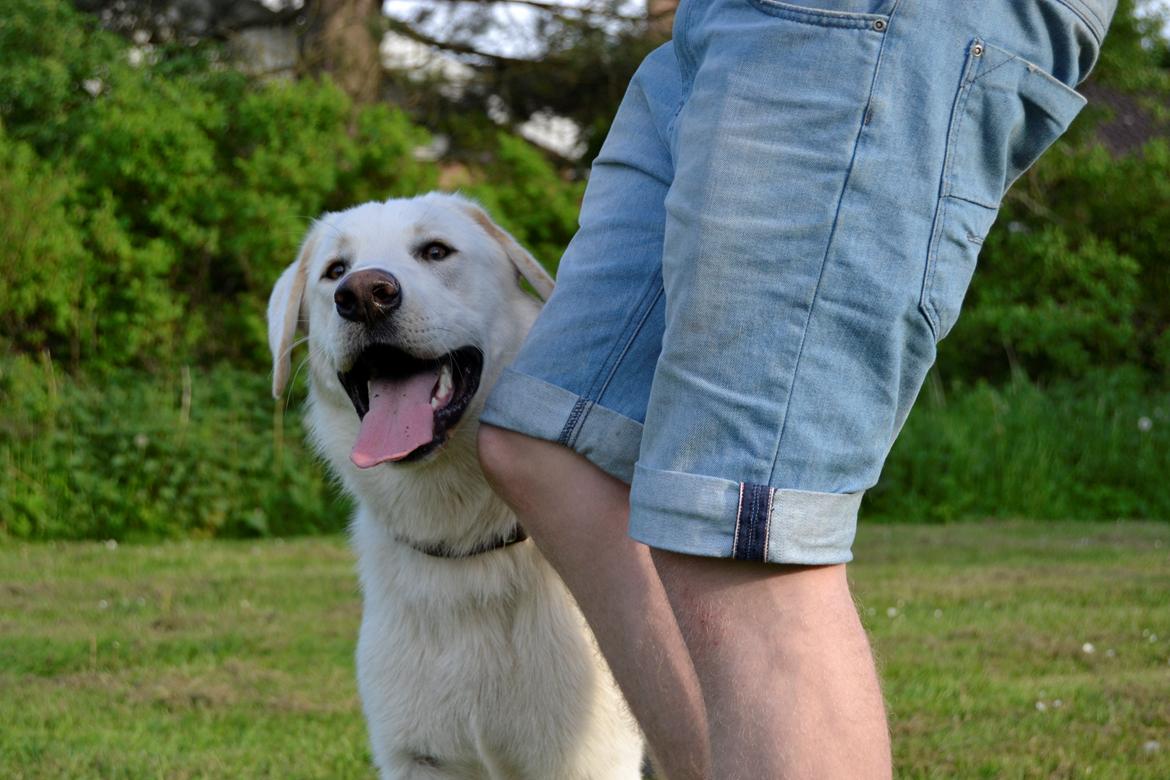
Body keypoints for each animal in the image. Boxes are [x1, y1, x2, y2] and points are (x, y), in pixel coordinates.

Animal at [267, 191, 641, 776]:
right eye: (336, 272)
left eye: (436, 251)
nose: (364, 296)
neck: (464, 544)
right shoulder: (417, 758)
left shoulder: (585, 761)